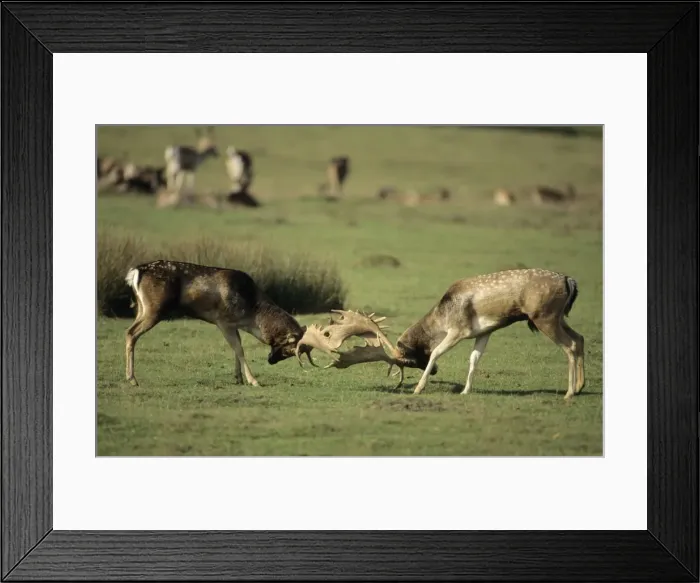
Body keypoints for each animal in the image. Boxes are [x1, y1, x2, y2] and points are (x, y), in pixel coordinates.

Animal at [124, 260, 311, 387]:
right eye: (290, 349)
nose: (271, 360)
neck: (251, 316)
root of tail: (135, 272)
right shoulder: (223, 321)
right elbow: (239, 349)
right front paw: (253, 380)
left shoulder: (233, 325)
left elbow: (237, 348)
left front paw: (238, 378)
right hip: (154, 309)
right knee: (131, 333)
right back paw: (132, 379)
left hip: (142, 308)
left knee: (130, 331)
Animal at [295, 268, 585, 400]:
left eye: (410, 361)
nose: (433, 373)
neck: (442, 315)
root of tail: (569, 280)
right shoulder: (485, 331)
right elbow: (474, 359)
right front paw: (465, 391)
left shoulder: (458, 329)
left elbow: (436, 350)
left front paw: (418, 389)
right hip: (557, 317)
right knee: (580, 339)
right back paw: (580, 387)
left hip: (544, 317)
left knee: (570, 346)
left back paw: (569, 393)